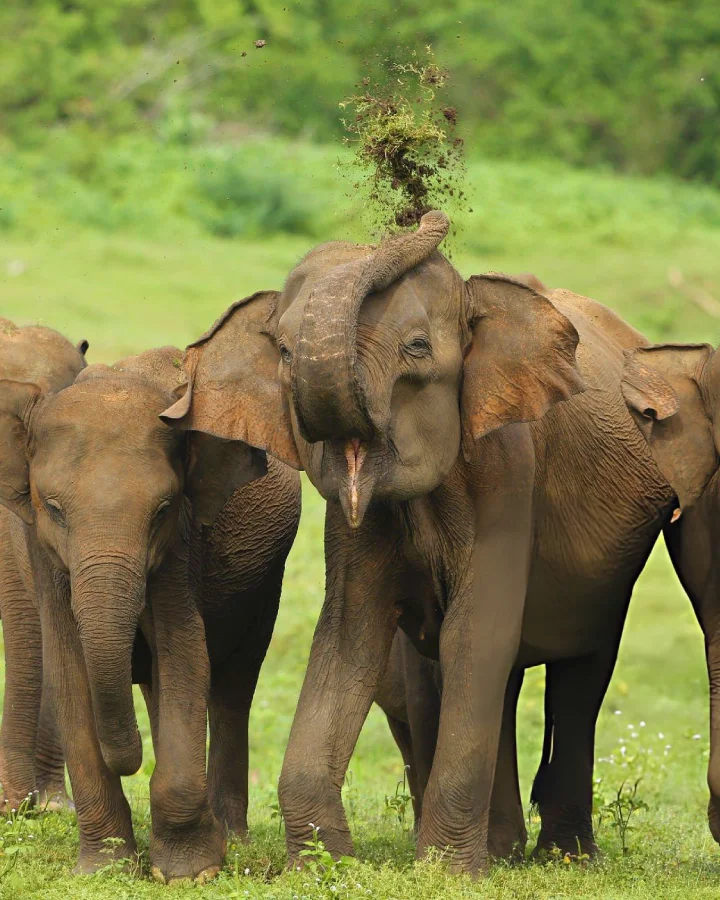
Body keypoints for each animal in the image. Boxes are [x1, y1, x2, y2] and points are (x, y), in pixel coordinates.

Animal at [0, 344, 301, 882]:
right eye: (54, 509)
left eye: (161, 510)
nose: (130, 760)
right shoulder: (40, 549)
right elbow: (69, 668)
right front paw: (104, 870)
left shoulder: (182, 541)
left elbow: (184, 652)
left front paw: (189, 872)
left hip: (266, 581)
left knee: (233, 685)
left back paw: (231, 837)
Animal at [163, 211, 678, 874]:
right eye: (281, 350)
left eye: (417, 348)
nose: (424, 216)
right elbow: (350, 634)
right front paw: (327, 865)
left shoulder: (508, 467)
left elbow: (475, 632)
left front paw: (448, 870)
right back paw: (504, 850)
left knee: (578, 678)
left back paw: (563, 857)